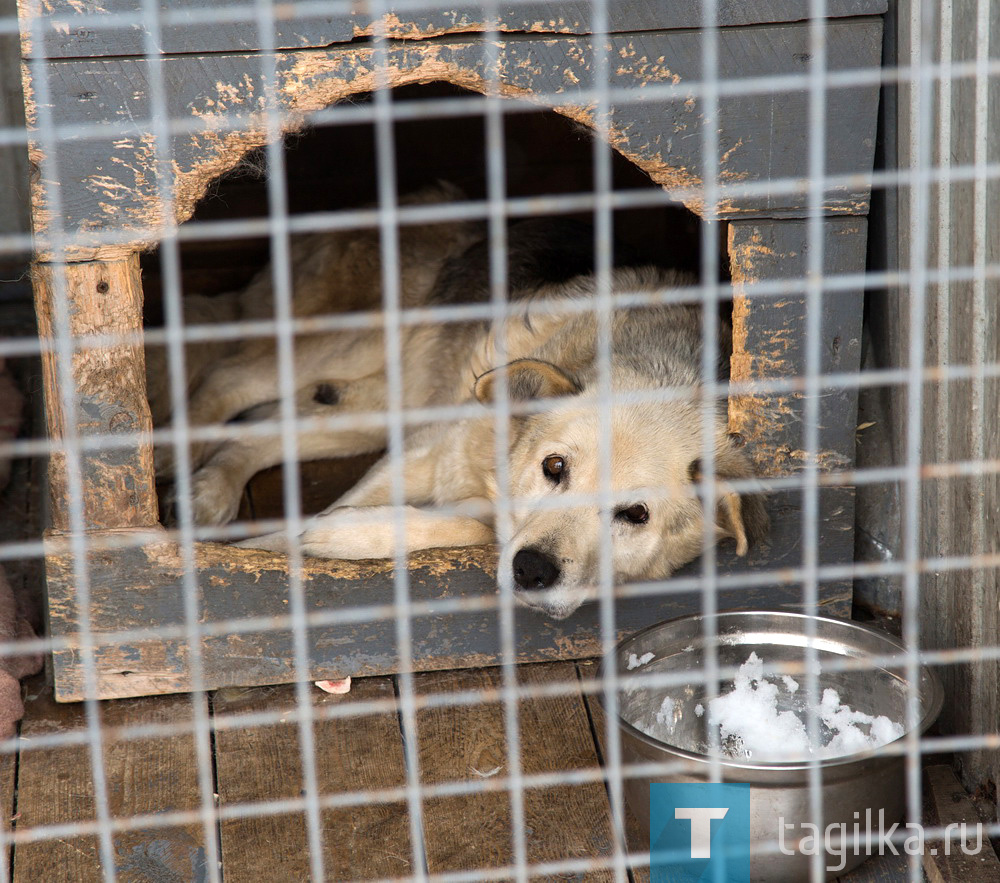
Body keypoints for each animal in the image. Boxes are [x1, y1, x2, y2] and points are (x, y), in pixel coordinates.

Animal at [150, 183, 764, 620]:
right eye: (554, 467)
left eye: (636, 515)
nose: (532, 571)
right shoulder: (426, 455)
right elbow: (316, 520)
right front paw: (270, 552)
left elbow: (474, 527)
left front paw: (338, 537)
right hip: (354, 342)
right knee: (229, 377)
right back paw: (170, 457)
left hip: (381, 403)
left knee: (262, 428)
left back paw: (211, 488)